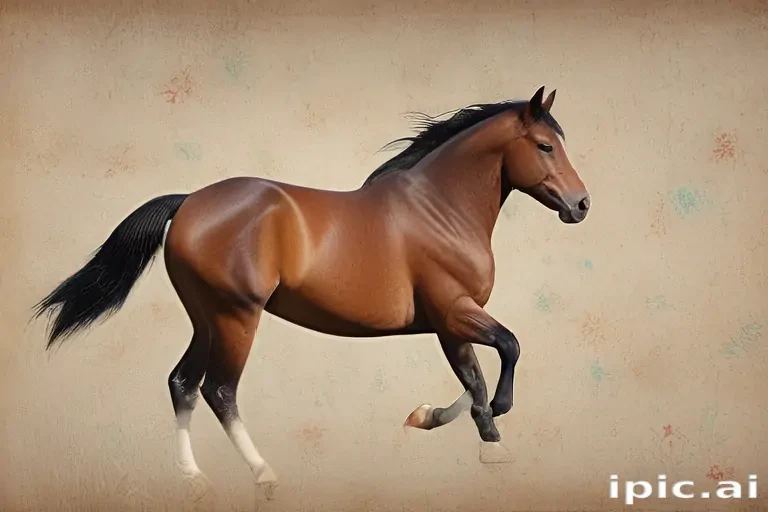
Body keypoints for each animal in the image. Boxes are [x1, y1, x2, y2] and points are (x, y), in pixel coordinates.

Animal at [32, 86, 590, 490]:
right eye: (545, 146)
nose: (581, 204)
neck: (439, 209)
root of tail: (189, 201)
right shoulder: (454, 310)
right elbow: (505, 351)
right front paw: (493, 428)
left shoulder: (448, 322)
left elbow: (471, 375)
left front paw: (439, 421)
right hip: (237, 317)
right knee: (219, 389)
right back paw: (262, 473)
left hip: (206, 319)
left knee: (181, 383)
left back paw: (192, 478)